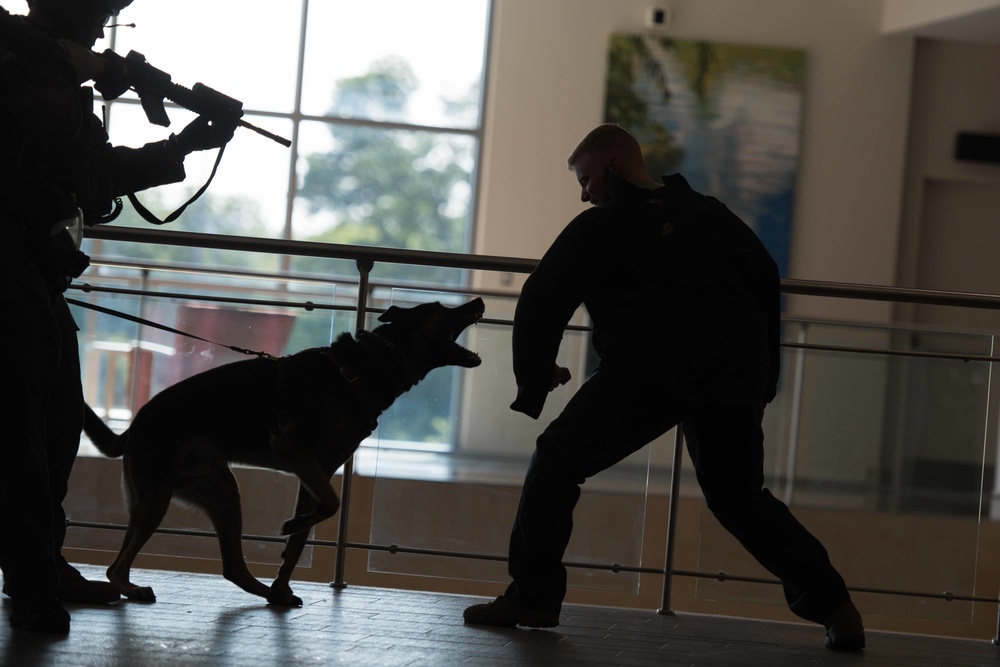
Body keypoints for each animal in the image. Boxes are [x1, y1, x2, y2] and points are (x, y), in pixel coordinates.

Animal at [84, 300, 482, 608]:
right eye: (440, 308)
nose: (478, 301)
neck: (369, 366)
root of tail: (133, 426)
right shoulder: (293, 449)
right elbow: (331, 505)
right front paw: (291, 529)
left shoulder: (316, 471)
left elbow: (304, 535)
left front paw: (282, 584)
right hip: (158, 497)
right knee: (117, 567)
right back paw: (130, 589)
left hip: (218, 491)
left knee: (232, 567)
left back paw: (264, 593)